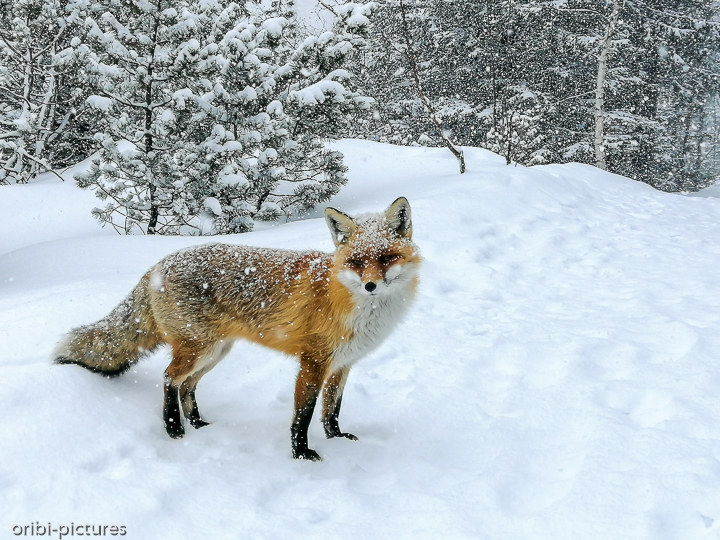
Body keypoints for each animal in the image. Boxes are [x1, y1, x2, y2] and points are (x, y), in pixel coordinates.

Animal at [53, 197, 420, 461]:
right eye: (357, 263)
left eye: (386, 258)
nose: (371, 286)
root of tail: (158, 264)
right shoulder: (313, 363)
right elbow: (303, 415)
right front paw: (301, 453)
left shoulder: (343, 365)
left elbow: (332, 409)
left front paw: (337, 439)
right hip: (198, 349)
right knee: (169, 378)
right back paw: (174, 428)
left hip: (215, 352)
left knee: (187, 386)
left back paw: (197, 423)